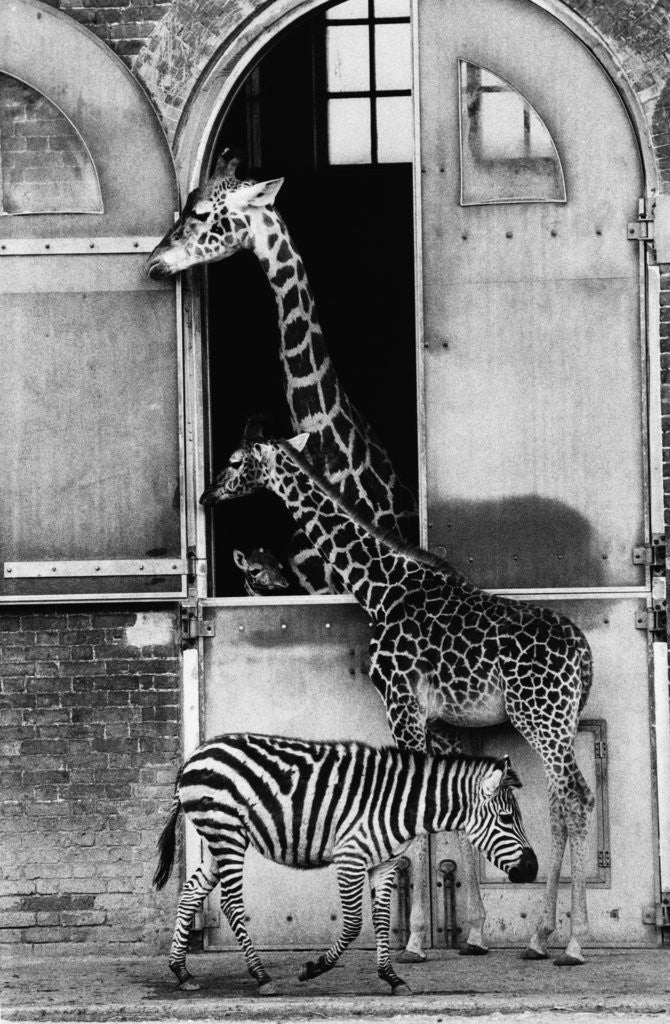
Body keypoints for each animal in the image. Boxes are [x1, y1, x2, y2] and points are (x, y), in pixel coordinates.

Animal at [154, 732, 537, 995]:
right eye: (506, 819)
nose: (532, 869)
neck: (401, 806)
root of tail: (194, 757)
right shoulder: (349, 857)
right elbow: (353, 924)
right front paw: (313, 968)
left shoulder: (384, 863)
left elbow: (382, 921)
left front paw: (391, 978)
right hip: (226, 833)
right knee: (232, 904)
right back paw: (261, 976)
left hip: (218, 840)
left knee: (191, 892)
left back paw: (181, 972)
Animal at [200, 428, 596, 968]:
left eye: (237, 460)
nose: (206, 495)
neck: (379, 589)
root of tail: (584, 653)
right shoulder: (440, 722)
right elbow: (454, 815)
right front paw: (474, 932)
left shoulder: (400, 703)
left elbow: (416, 817)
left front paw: (411, 942)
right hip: (558, 720)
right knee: (560, 804)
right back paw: (538, 936)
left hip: (540, 716)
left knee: (577, 798)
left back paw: (573, 942)